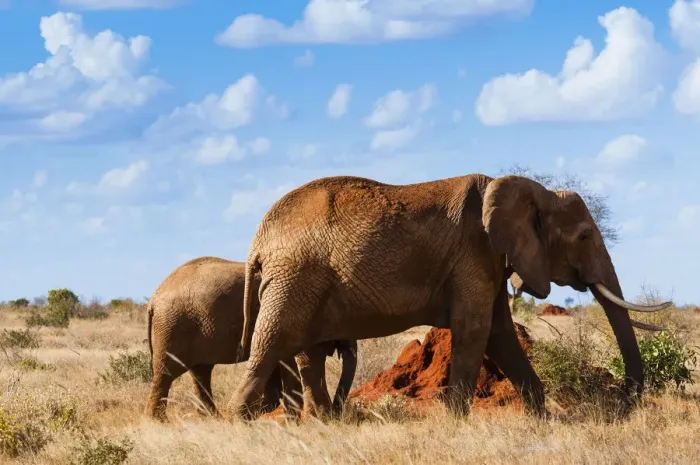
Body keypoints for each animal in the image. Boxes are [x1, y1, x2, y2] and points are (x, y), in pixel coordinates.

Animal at [143, 256, 357, 421]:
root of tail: (153, 299)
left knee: (201, 372)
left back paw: (212, 418)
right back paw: (157, 421)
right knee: (166, 374)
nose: (338, 412)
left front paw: (264, 411)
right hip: (173, 326)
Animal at [228, 174, 670, 420]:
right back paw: (240, 421)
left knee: (305, 352)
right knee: (271, 344)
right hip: (294, 278)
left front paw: (541, 418)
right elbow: (475, 330)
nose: (624, 404)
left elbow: (500, 333)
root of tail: (258, 241)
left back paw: (320, 423)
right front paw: (456, 421)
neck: (529, 190)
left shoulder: (489, 259)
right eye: (583, 237)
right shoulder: (473, 254)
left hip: (300, 282)